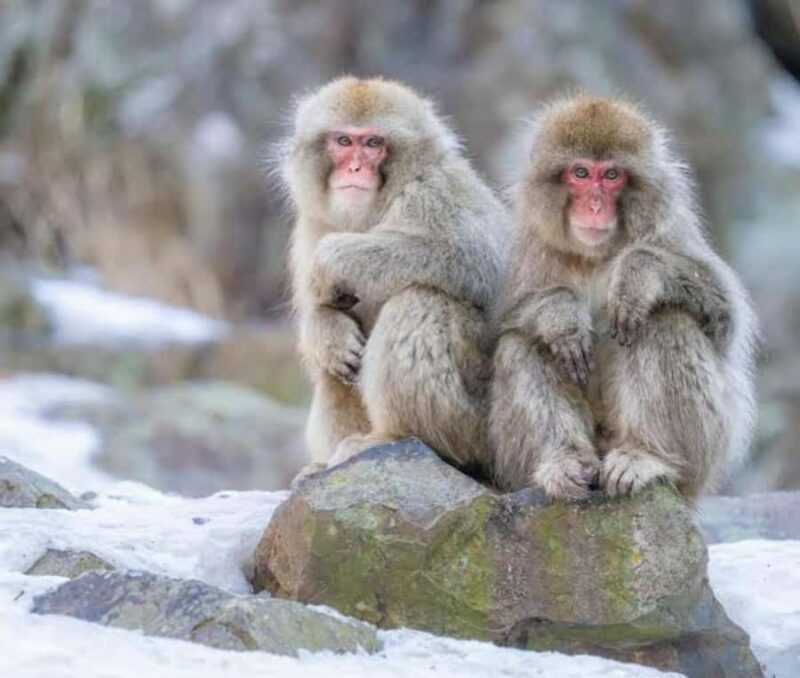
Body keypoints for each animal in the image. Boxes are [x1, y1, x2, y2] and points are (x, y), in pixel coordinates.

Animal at [279, 76, 509, 476]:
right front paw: (325, 330)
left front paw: (333, 260)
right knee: (331, 372)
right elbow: (322, 314)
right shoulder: (313, 224)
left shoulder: (435, 191)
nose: (355, 169)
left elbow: (482, 261)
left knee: (419, 300)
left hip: (484, 422)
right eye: (344, 141)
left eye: (374, 143)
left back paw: (397, 436)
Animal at [489, 93, 757, 501]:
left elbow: (724, 314)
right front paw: (560, 316)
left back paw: (647, 454)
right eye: (581, 173)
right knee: (521, 344)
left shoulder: (670, 229)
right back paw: (565, 460)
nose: (595, 205)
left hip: (705, 456)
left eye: (612, 176)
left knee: (664, 319)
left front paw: (638, 275)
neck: (596, 254)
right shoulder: (530, 246)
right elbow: (502, 323)